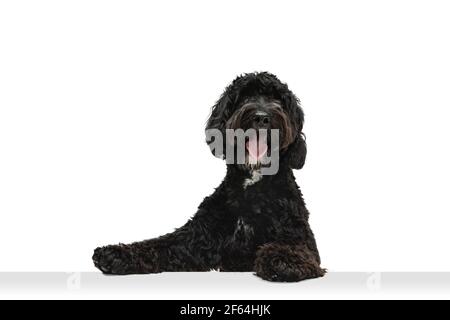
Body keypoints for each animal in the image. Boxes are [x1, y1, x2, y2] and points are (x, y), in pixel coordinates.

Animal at [92, 72, 324, 282]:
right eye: (244, 97)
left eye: (279, 99)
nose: (261, 117)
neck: (252, 184)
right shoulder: (196, 238)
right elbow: (159, 244)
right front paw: (115, 254)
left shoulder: (299, 237)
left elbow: (292, 249)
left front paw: (281, 262)